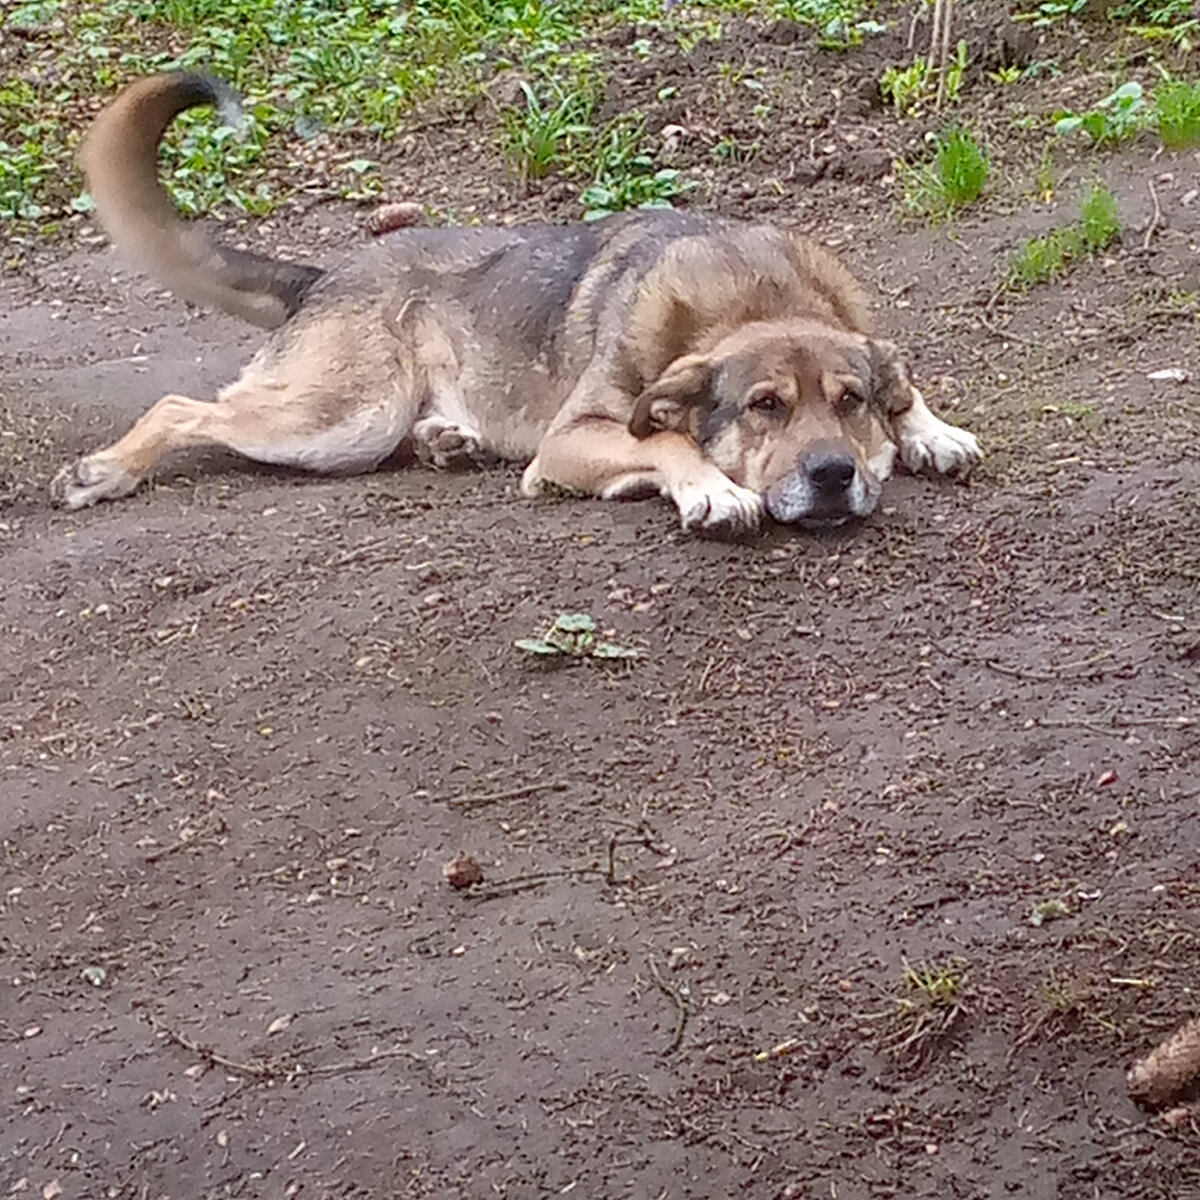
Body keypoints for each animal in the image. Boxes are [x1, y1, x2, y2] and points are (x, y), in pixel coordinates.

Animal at [51, 69, 979, 530]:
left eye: (850, 402)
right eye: (764, 407)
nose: (832, 475)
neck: (754, 293)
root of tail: (324, 274)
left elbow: (909, 389)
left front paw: (928, 429)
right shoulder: (572, 439)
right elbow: (666, 441)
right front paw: (710, 488)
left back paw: (448, 441)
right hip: (339, 421)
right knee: (184, 408)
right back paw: (104, 472)